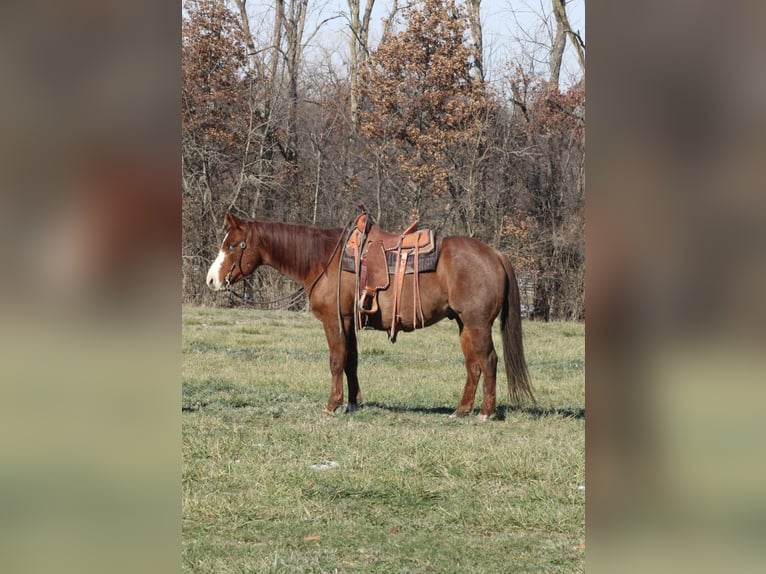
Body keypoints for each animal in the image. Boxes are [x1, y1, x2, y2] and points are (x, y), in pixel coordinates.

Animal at [206, 212, 534, 419]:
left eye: (233, 245)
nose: (211, 280)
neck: (324, 260)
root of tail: (495, 254)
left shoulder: (334, 320)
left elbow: (336, 361)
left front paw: (332, 405)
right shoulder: (349, 321)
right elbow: (351, 361)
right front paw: (352, 403)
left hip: (477, 324)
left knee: (488, 360)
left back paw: (485, 413)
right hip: (464, 324)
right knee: (473, 365)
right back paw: (462, 410)